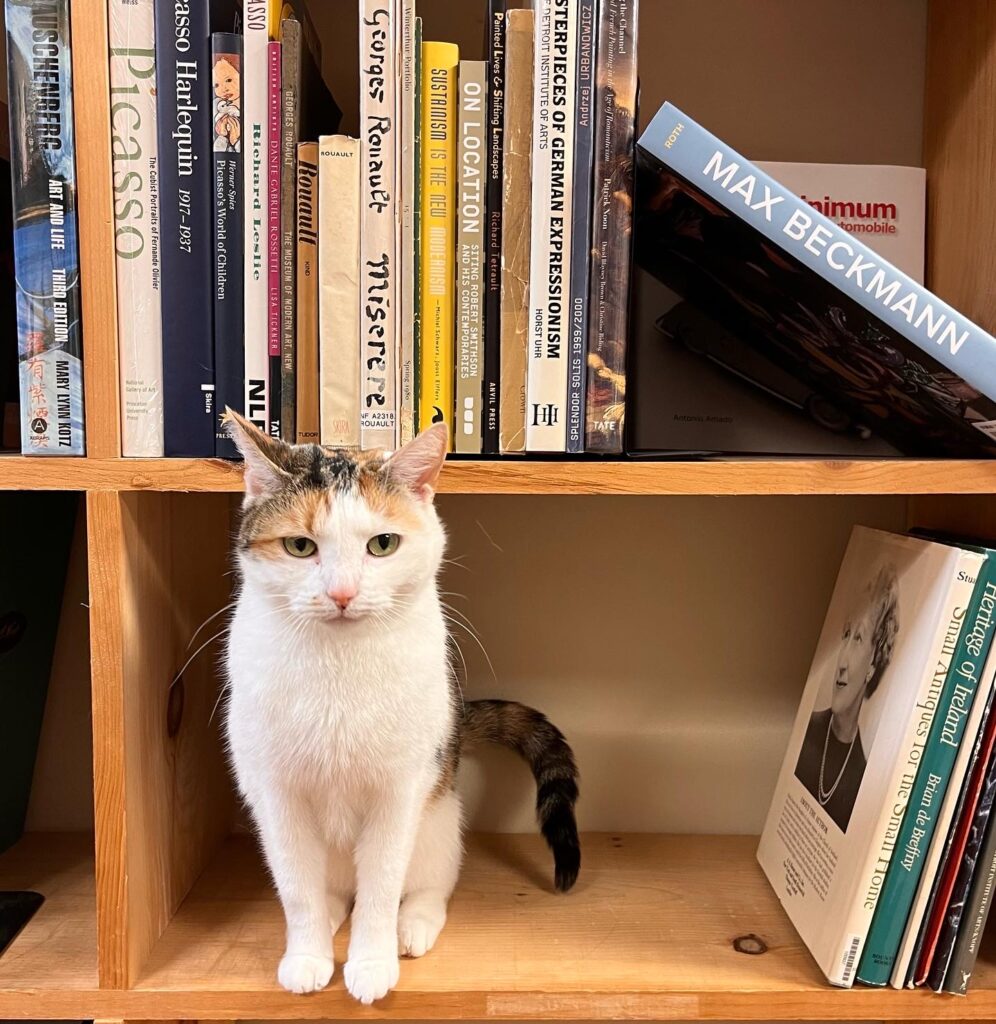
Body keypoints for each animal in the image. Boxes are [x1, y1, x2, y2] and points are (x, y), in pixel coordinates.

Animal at [221, 411, 577, 1003]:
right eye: (299, 546)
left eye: (382, 544)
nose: (342, 594)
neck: (339, 671)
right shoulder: (276, 793)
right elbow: (297, 890)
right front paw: (307, 956)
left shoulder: (398, 791)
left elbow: (383, 888)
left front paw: (370, 963)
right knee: (333, 894)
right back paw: (334, 917)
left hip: (439, 820)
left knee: (428, 886)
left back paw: (412, 928)